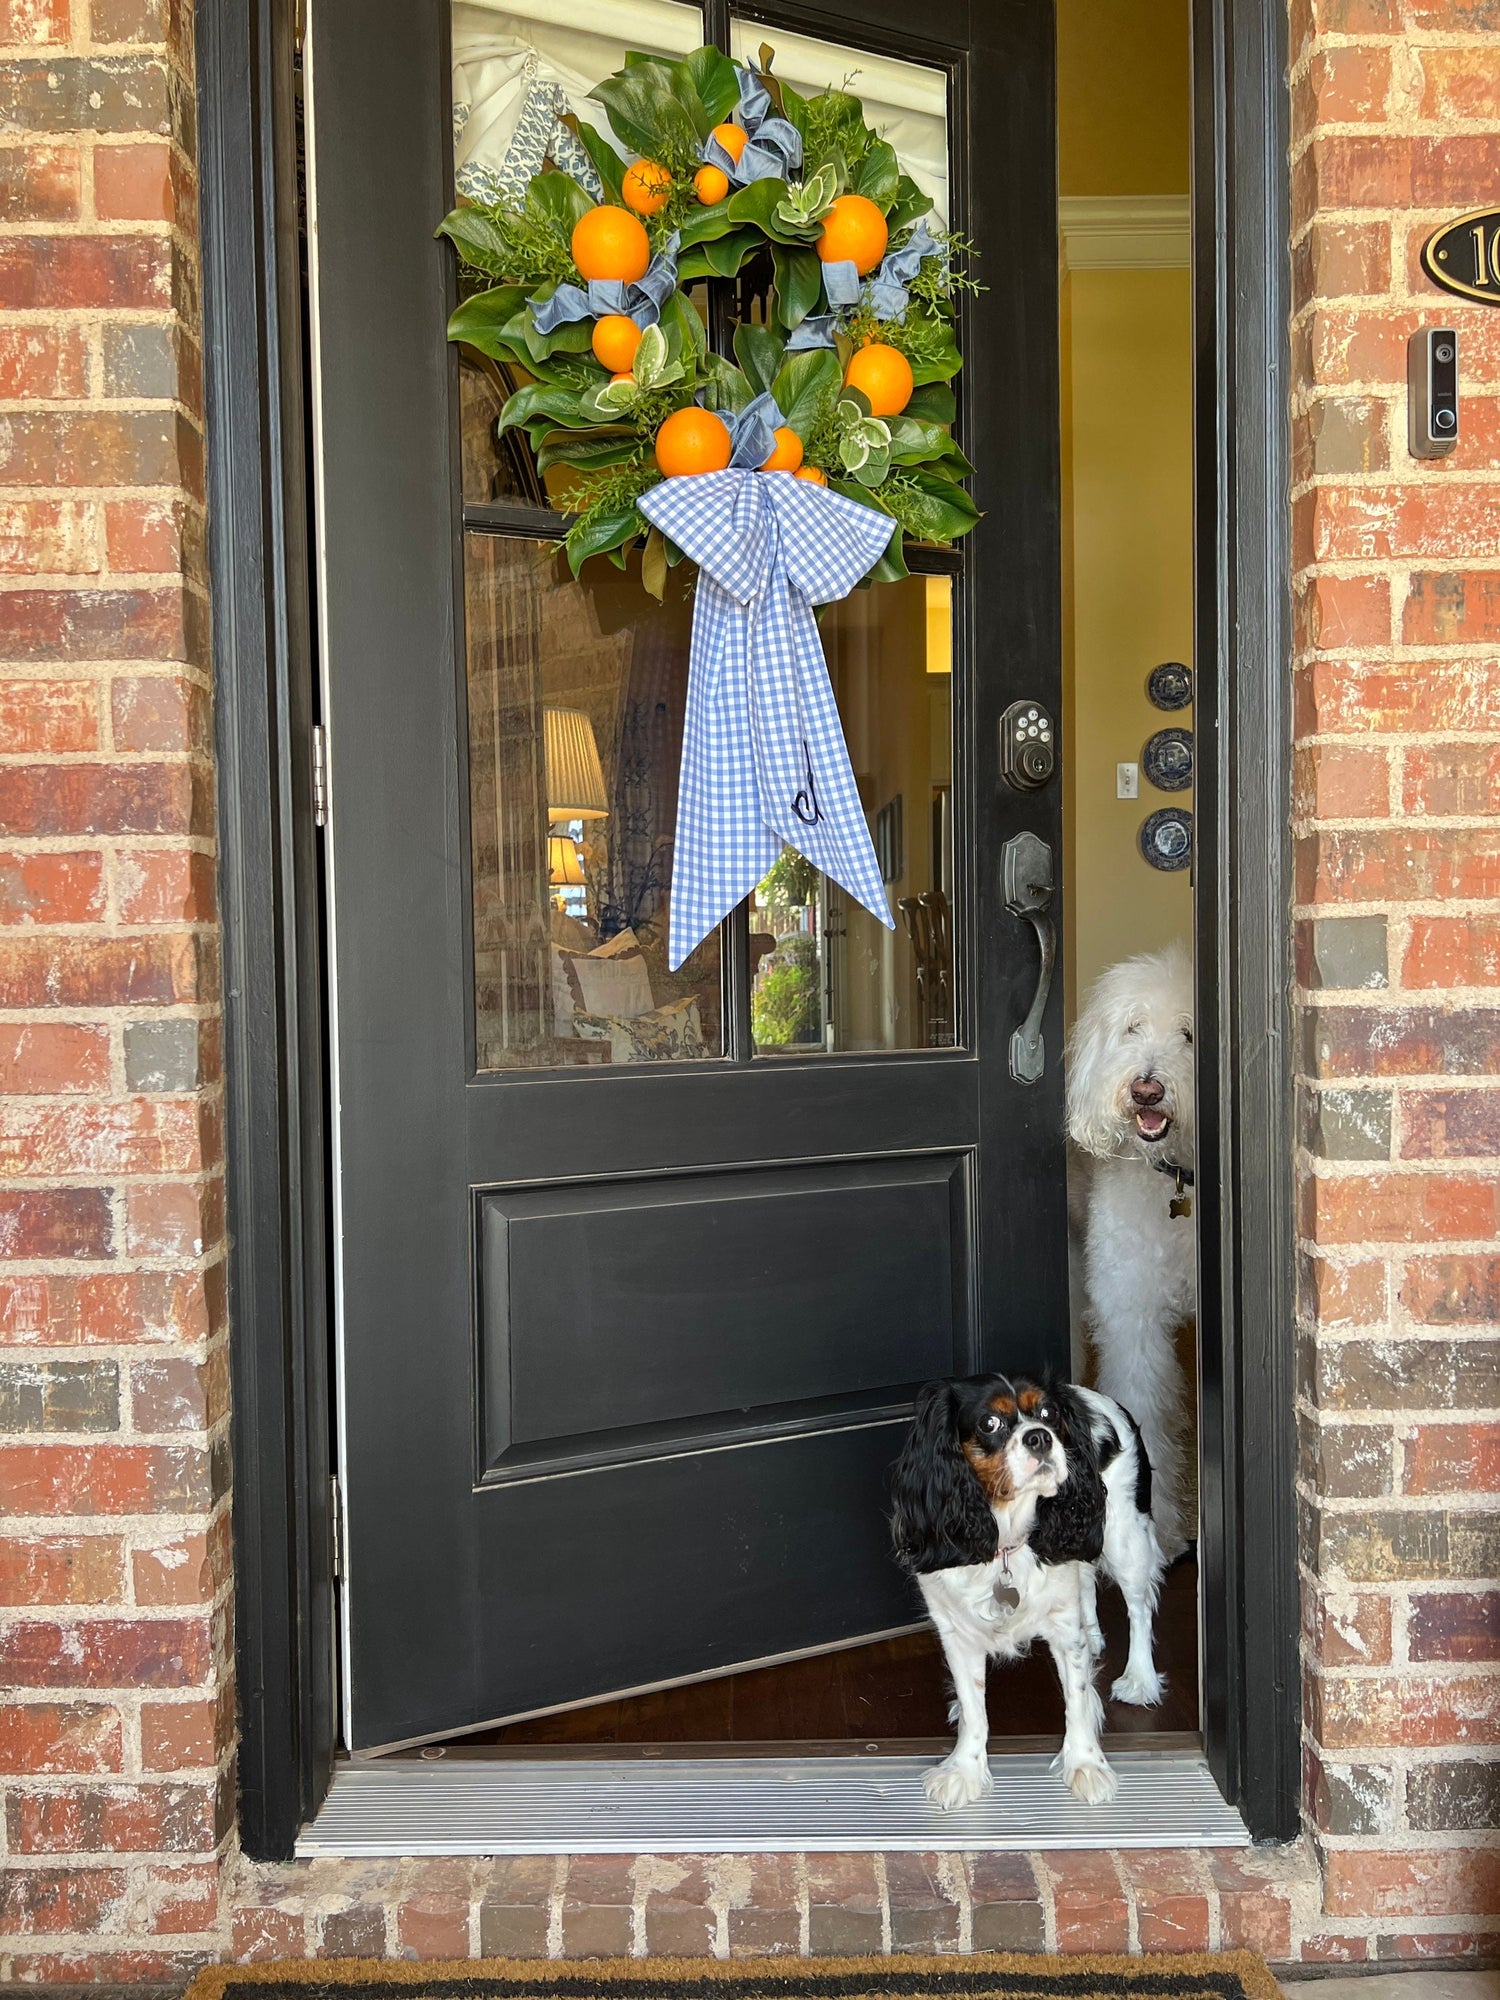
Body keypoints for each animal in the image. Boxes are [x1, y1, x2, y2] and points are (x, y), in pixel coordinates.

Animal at [892, 1376, 1176, 1816]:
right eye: (989, 1423)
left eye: (1047, 1414)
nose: (1040, 1437)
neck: (1005, 1536)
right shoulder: (955, 1629)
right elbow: (974, 1707)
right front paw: (965, 1770)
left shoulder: (1063, 1622)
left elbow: (1076, 1696)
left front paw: (1085, 1766)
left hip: (1124, 1537)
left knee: (1139, 1607)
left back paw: (1140, 1679)